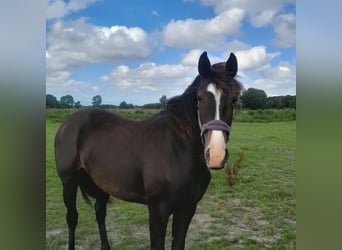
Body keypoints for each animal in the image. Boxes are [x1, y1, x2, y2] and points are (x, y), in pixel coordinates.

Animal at [54, 51, 243, 250]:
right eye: (199, 98)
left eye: (234, 99)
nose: (215, 155)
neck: (178, 150)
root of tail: (69, 123)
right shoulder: (158, 210)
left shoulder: (187, 209)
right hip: (69, 181)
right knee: (72, 218)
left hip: (100, 183)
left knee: (100, 213)